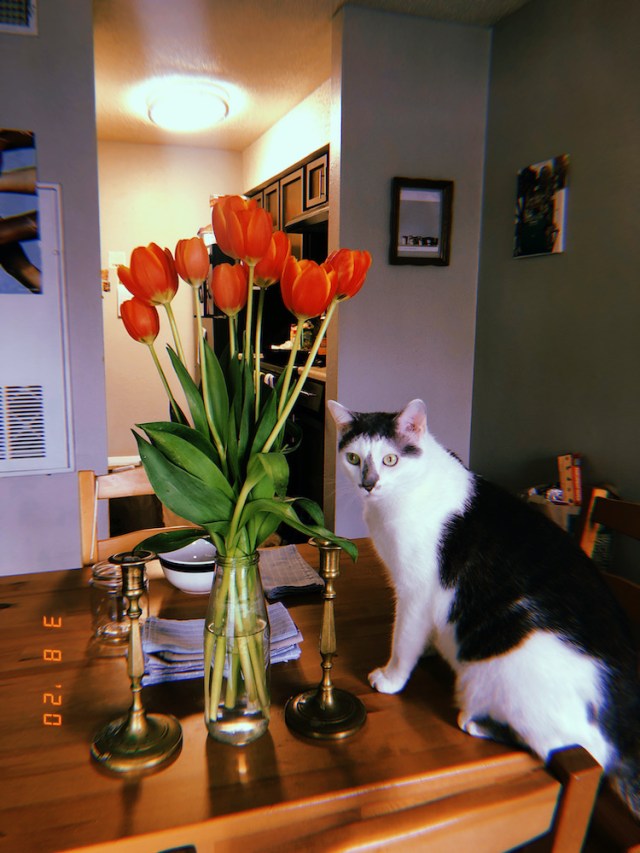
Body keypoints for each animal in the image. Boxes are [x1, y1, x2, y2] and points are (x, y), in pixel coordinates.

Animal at [330, 400, 640, 820]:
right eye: (353, 458)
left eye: (390, 459)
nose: (368, 483)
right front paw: (429, 649)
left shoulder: (415, 592)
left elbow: (404, 638)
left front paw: (392, 677)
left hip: (499, 680)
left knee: (571, 747)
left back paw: (474, 721)